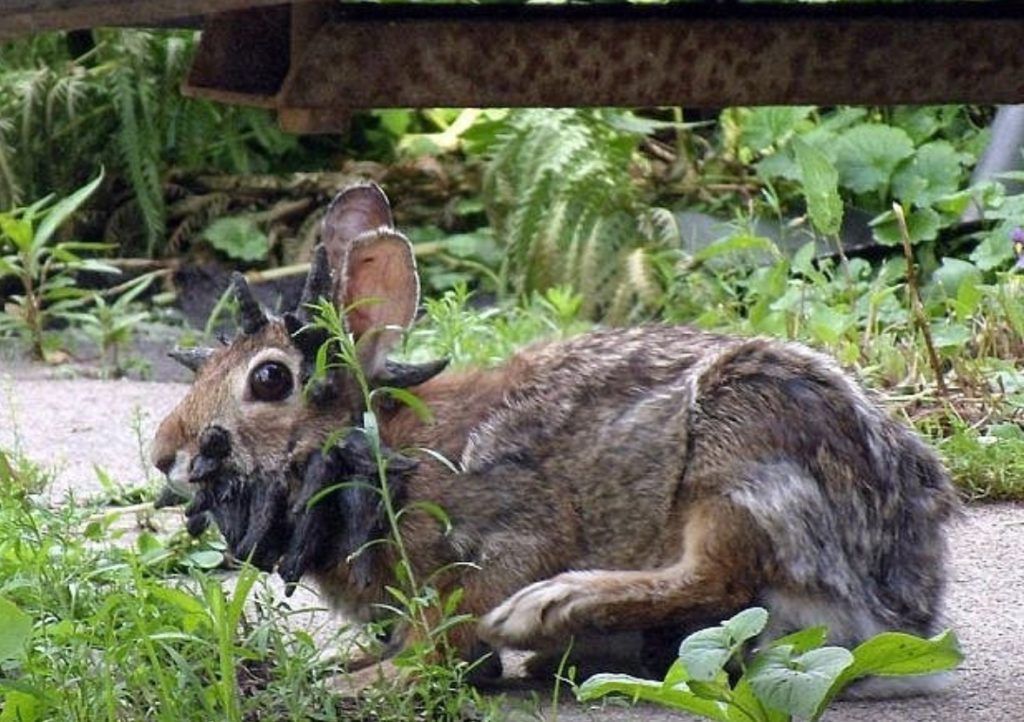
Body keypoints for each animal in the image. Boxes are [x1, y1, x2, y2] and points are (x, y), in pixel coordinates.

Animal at [151, 182, 959, 692]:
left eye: (269, 381)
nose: (165, 454)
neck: (378, 447)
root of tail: (901, 601)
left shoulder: (503, 534)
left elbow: (451, 632)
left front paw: (372, 684)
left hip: (738, 452)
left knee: (716, 577)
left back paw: (552, 609)